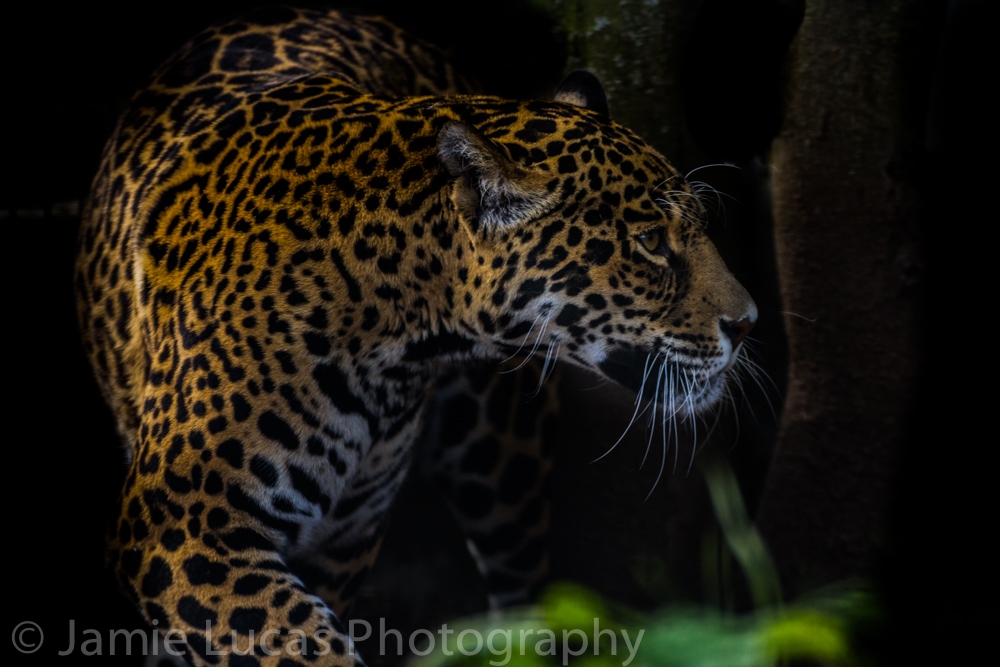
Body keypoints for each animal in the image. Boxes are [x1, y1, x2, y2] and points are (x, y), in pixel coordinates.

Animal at [75, 6, 757, 666]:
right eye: (650, 242)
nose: (747, 322)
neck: (395, 333)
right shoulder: (178, 526)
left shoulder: (344, 537)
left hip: (504, 463)